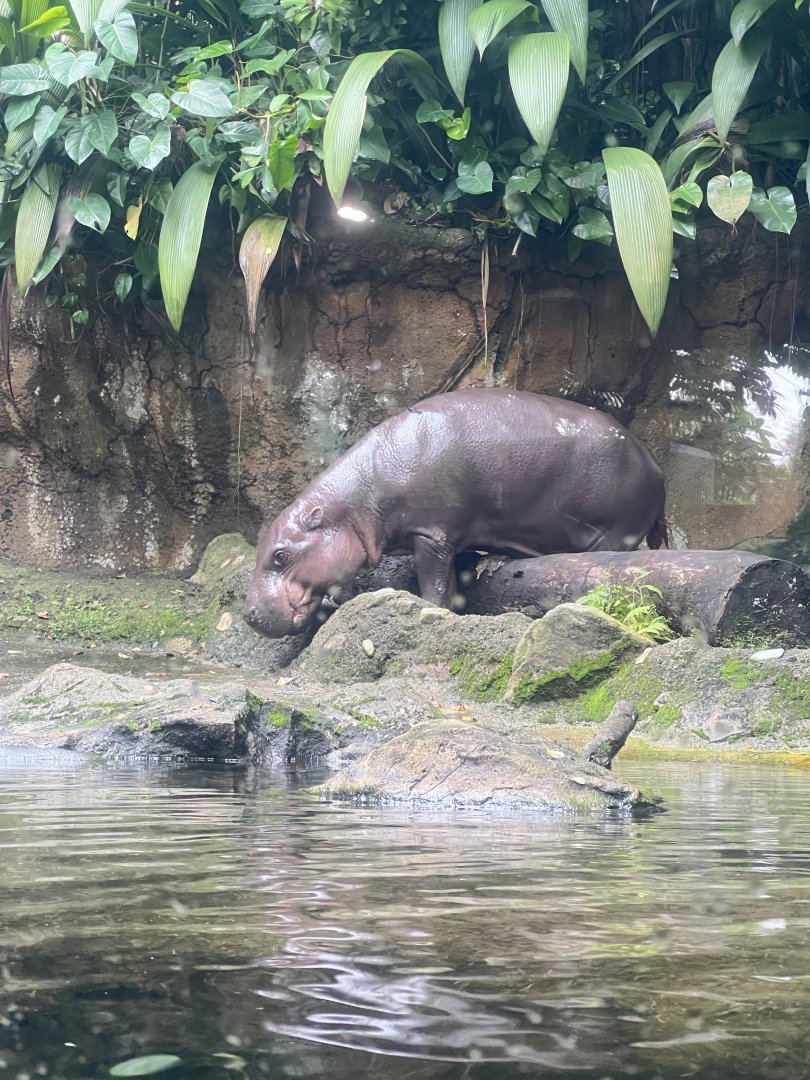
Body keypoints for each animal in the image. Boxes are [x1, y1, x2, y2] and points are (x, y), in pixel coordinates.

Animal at [245, 388, 666, 637]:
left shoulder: (431, 533)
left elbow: (434, 582)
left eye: (280, 556)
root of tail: (655, 464)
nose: (248, 614)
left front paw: (430, 610)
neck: (357, 499)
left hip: (615, 533)